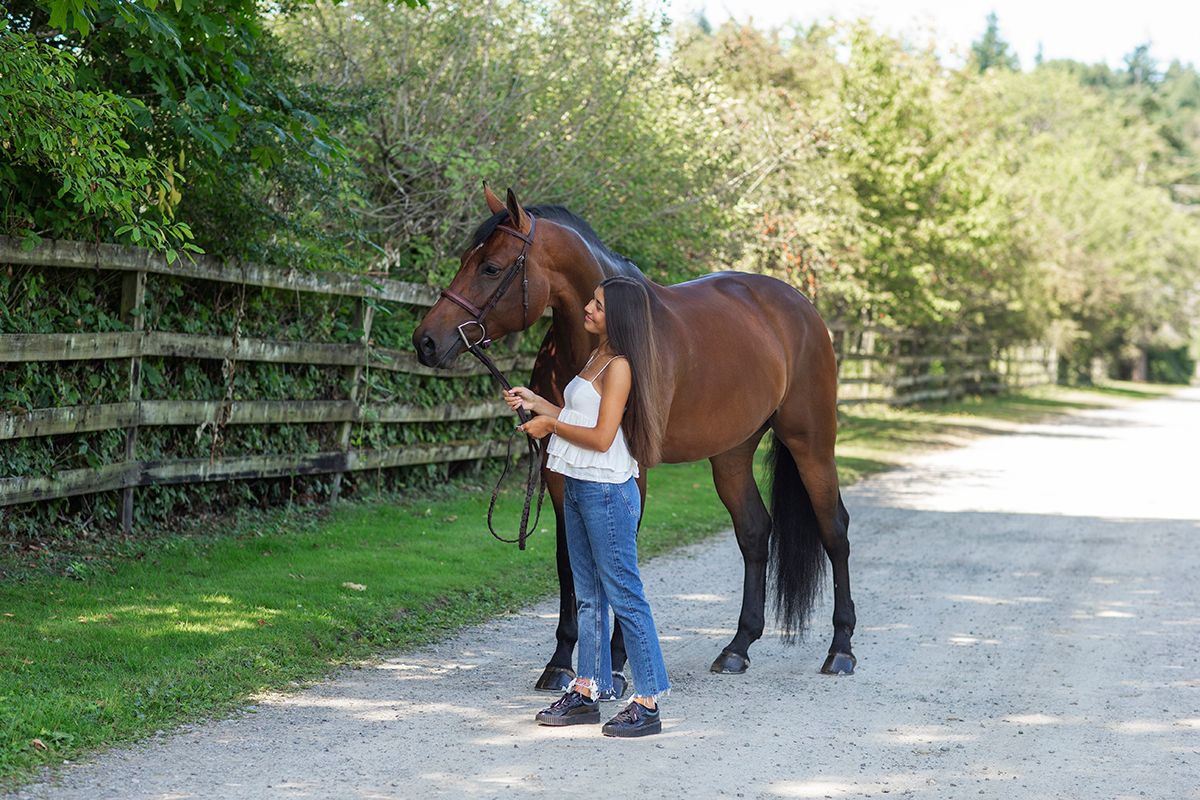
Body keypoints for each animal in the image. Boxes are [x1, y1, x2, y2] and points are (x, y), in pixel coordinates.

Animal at [413, 186, 856, 693]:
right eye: (465, 260)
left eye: (490, 267)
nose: (426, 341)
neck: (602, 345)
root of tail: (800, 306)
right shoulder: (559, 471)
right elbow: (570, 564)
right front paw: (561, 662)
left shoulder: (631, 468)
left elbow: (621, 555)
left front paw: (619, 661)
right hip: (731, 453)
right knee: (754, 532)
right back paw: (737, 648)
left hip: (811, 444)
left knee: (834, 529)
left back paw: (841, 649)